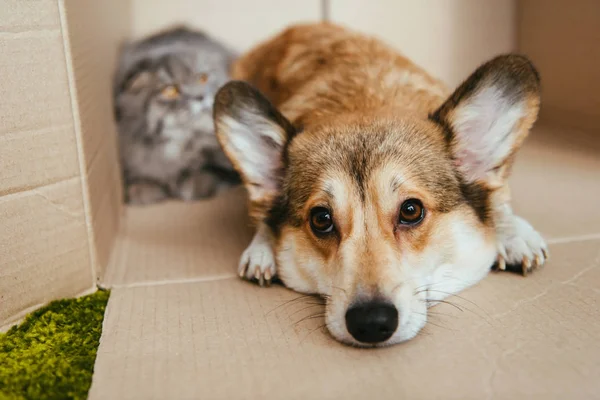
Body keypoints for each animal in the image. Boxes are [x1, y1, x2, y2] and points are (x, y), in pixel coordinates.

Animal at [113, 26, 240, 205]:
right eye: (170, 90)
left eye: (202, 78)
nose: (200, 97)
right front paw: (142, 190)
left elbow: (209, 175)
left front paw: (192, 186)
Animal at [212, 23, 548, 346]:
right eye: (321, 219)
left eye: (411, 211)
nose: (371, 323)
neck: (364, 102)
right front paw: (263, 248)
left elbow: (498, 199)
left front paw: (514, 235)